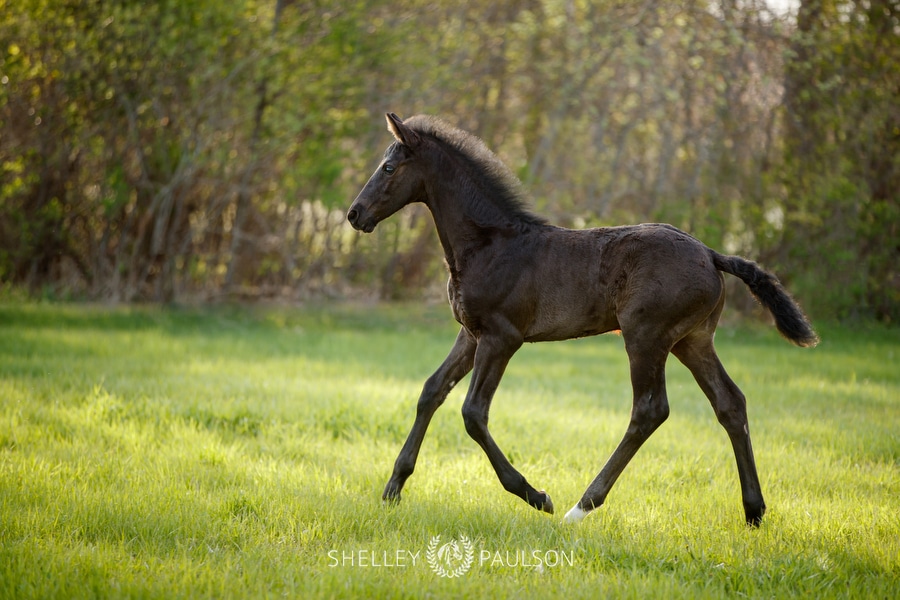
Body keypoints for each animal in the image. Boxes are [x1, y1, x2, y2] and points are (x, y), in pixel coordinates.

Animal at [344, 112, 816, 524]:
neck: (489, 244)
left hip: (646, 337)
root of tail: (712, 254)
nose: (354, 214)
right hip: (692, 340)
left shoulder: (501, 337)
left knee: (650, 410)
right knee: (730, 404)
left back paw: (580, 507)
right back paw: (754, 511)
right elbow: (431, 392)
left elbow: (473, 413)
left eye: (388, 167)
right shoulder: (471, 334)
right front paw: (392, 489)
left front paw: (536, 496)